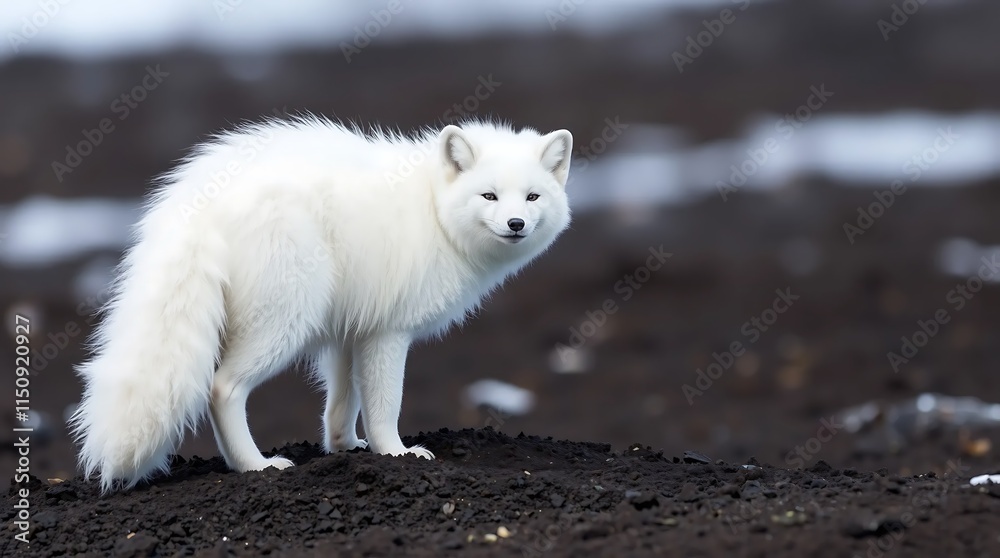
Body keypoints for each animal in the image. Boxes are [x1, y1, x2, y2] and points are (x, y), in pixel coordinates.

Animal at [69, 117, 573, 492]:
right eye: (489, 195)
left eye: (532, 197)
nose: (516, 223)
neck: (432, 211)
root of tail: (198, 206)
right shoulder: (388, 332)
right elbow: (384, 404)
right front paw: (395, 453)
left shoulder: (351, 328)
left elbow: (343, 400)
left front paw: (344, 446)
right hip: (284, 320)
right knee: (221, 387)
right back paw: (254, 465)